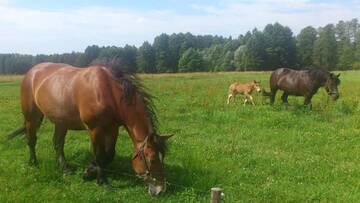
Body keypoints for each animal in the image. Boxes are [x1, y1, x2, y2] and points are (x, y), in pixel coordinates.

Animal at [8, 59, 172, 196]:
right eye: (151, 159)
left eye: (162, 157)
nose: (160, 189)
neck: (107, 92)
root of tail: (31, 72)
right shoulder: (95, 129)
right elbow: (98, 154)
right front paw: (101, 180)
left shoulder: (112, 129)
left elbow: (109, 154)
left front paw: (89, 172)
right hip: (32, 118)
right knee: (32, 140)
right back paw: (33, 163)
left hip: (61, 122)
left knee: (58, 143)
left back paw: (64, 168)